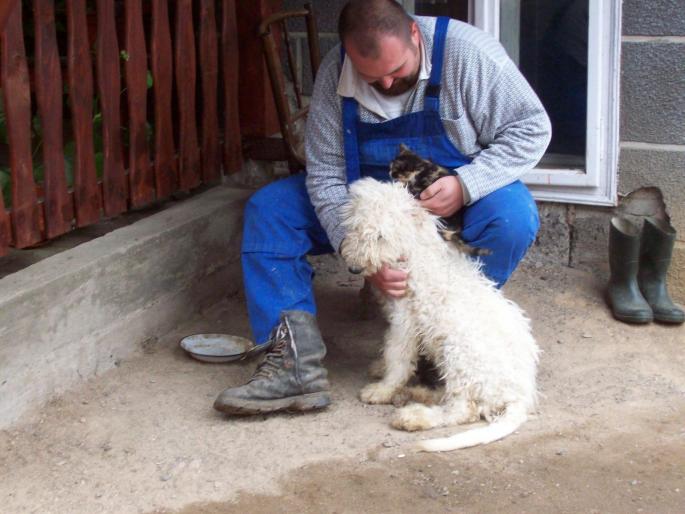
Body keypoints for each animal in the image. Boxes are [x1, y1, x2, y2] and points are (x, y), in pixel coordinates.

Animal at [340, 178, 536, 450]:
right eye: (356, 227)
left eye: (381, 237)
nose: (355, 269)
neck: (414, 251)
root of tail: (519, 396)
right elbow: (392, 354)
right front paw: (381, 369)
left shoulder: (405, 319)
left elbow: (397, 357)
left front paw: (382, 390)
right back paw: (418, 393)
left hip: (458, 355)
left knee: (463, 411)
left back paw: (414, 416)